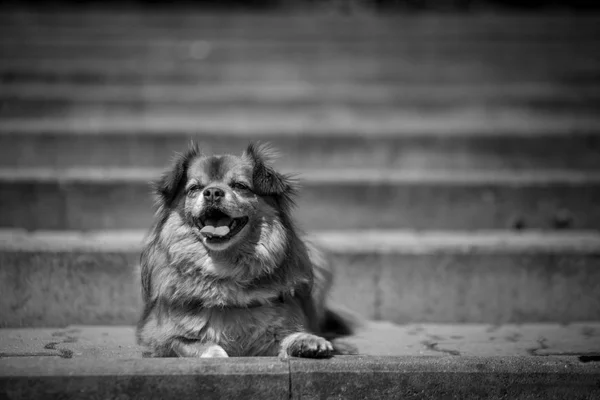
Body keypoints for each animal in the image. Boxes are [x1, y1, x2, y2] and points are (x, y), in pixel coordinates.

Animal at [137, 142, 356, 358]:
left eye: (240, 186)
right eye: (195, 188)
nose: (212, 192)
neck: (224, 266)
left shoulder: (279, 326)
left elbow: (291, 334)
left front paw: (308, 341)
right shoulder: (157, 338)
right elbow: (196, 343)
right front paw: (216, 354)